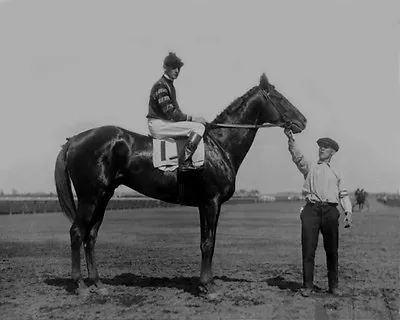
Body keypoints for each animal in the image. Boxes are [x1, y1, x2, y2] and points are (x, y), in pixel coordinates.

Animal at [54, 73, 308, 298]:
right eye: (280, 98)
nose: (303, 121)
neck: (220, 145)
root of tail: (74, 140)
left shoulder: (207, 205)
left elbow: (208, 243)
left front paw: (206, 284)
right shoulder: (211, 203)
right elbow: (208, 244)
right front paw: (208, 287)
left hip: (103, 197)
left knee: (91, 236)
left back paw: (98, 284)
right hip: (90, 198)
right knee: (77, 233)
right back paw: (80, 286)